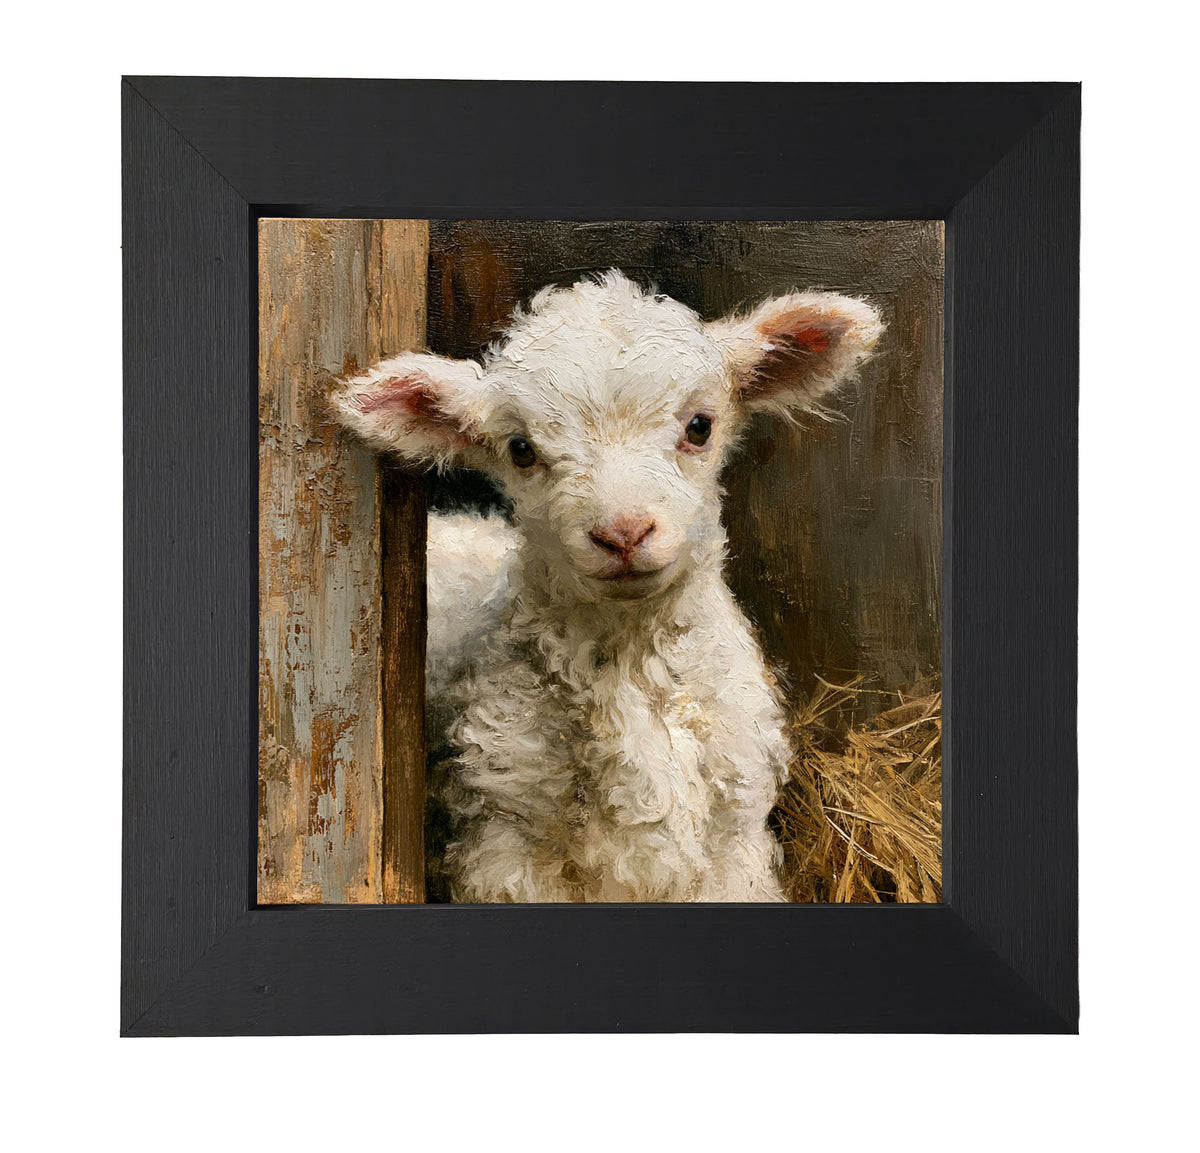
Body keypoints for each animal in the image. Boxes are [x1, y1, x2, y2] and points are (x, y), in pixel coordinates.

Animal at [334, 271, 883, 902]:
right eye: (520, 449)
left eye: (700, 427)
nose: (622, 533)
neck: (630, 664)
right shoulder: (505, 844)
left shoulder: (734, 843)